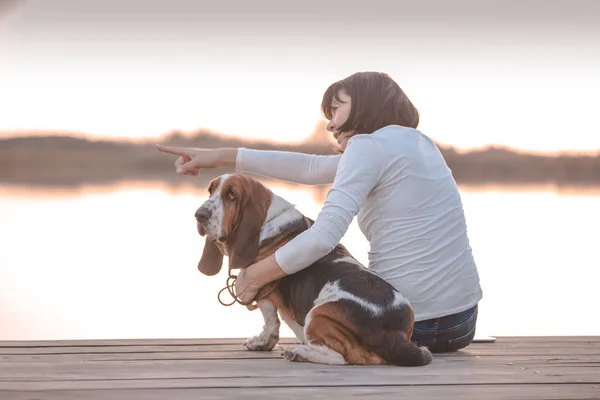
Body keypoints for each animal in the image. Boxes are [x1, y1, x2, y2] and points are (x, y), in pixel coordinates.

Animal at [195, 172, 434, 366]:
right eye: (210, 190)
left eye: (231, 195)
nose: (199, 214)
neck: (268, 221)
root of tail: (391, 332)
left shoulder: (262, 290)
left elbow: (270, 321)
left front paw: (261, 342)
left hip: (318, 313)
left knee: (343, 357)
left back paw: (298, 352)